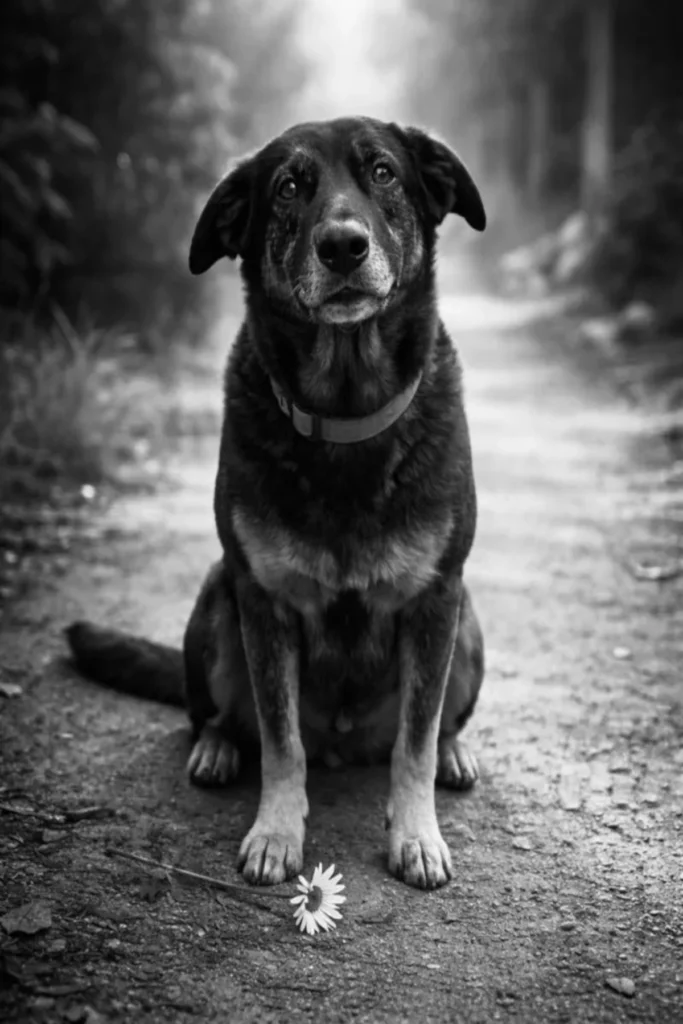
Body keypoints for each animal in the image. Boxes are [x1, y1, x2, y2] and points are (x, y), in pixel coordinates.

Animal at [66, 116, 486, 890]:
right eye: (290, 186)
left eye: (383, 172)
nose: (343, 244)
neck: (345, 414)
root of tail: (345, 742)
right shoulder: (262, 601)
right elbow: (280, 738)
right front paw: (276, 833)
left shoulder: (436, 598)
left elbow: (413, 740)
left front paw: (416, 834)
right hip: (216, 597)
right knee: (224, 718)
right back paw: (217, 748)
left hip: (467, 622)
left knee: (430, 723)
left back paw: (453, 751)